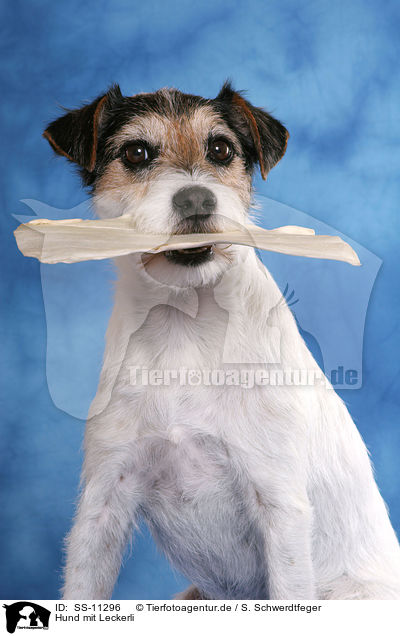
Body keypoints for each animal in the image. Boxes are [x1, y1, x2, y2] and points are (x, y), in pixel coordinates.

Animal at [43, 82, 400, 600]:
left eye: (221, 149)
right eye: (135, 152)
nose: (196, 200)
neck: (186, 324)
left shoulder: (279, 502)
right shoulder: (104, 499)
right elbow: (83, 590)